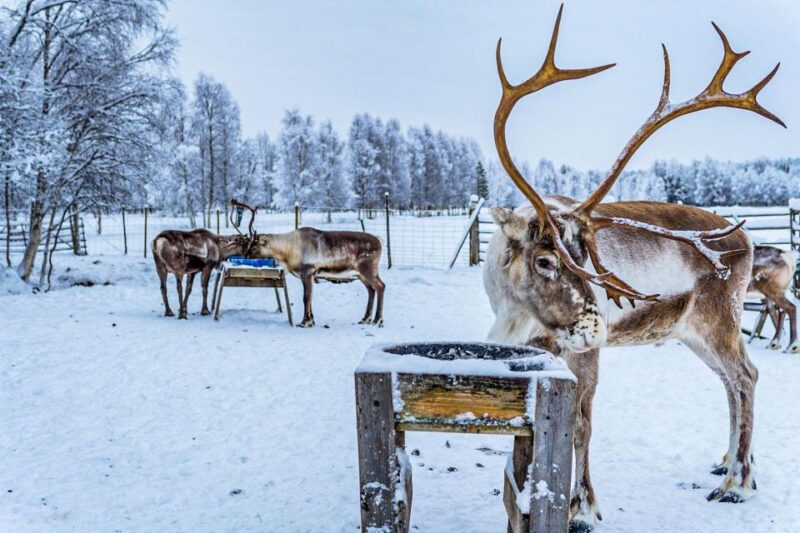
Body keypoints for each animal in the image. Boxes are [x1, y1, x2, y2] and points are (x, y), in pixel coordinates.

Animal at [247, 227, 385, 328]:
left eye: (253, 247)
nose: (245, 256)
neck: (288, 250)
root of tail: (379, 241)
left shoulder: (308, 273)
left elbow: (306, 298)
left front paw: (305, 322)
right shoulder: (310, 276)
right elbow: (310, 298)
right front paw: (311, 321)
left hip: (368, 269)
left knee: (380, 286)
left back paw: (377, 320)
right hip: (360, 274)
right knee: (371, 289)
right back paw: (365, 319)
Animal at [482, 6, 784, 531]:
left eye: (586, 256)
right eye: (545, 259)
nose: (596, 326)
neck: (516, 313)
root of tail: (746, 238)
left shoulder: (582, 355)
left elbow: (582, 423)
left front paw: (582, 508)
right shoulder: (535, 350)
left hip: (719, 319)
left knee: (746, 375)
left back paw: (737, 484)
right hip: (691, 333)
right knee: (731, 382)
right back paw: (727, 461)